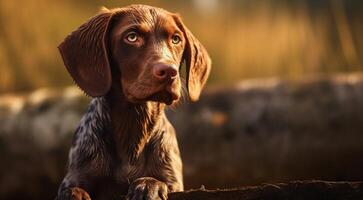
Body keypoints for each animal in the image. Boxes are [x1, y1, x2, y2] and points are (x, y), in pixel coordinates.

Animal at [55, 4, 212, 200]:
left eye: (176, 39)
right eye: (132, 37)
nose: (169, 71)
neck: (134, 122)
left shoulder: (173, 181)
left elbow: (156, 180)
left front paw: (148, 185)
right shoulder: (75, 176)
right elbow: (72, 189)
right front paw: (74, 193)